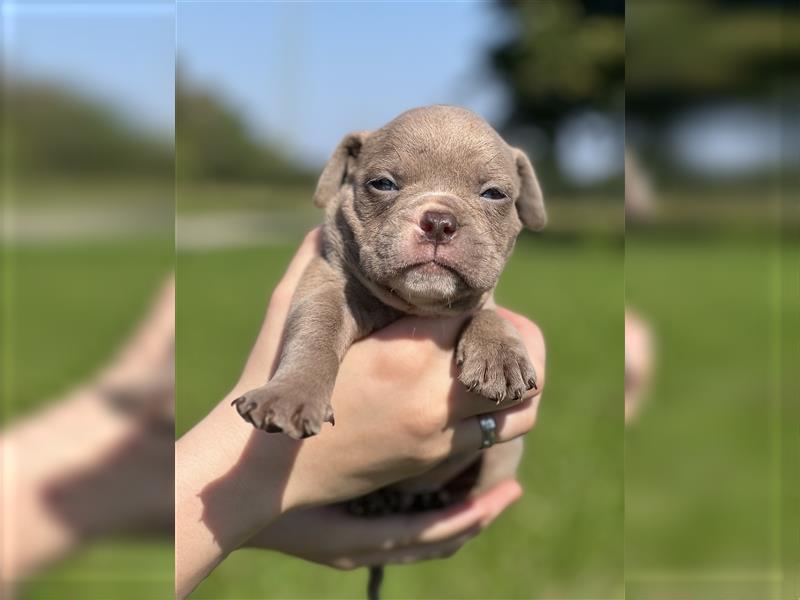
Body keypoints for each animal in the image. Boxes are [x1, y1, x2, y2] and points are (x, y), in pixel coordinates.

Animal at [231, 104, 544, 440]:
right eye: (383, 184)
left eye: (494, 193)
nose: (438, 222)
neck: (418, 306)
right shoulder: (325, 280)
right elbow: (317, 329)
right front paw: (290, 393)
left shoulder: (480, 299)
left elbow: (489, 314)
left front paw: (500, 356)